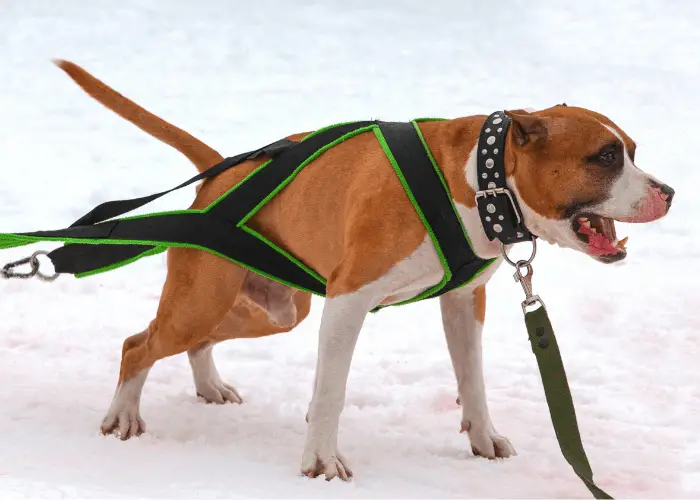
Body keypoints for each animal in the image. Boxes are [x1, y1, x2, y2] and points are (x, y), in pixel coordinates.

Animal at [50, 59, 672, 480]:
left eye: (633, 150)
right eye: (605, 157)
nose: (668, 192)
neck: (481, 177)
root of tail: (221, 172)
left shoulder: (462, 302)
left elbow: (472, 379)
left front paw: (484, 438)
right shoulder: (348, 300)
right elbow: (331, 391)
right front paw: (321, 461)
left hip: (273, 309)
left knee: (195, 340)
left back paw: (208, 385)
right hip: (203, 299)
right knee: (138, 344)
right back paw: (122, 417)